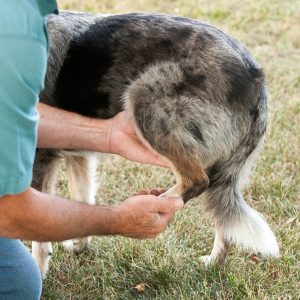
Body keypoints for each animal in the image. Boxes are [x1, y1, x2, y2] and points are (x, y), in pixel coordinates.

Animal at [31, 11, 280, 278]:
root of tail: (255, 77)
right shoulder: (78, 154)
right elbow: (81, 200)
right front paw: (79, 244)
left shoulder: (39, 158)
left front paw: (39, 271)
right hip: (220, 169)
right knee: (220, 211)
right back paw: (213, 262)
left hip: (144, 98)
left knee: (196, 181)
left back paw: (157, 205)